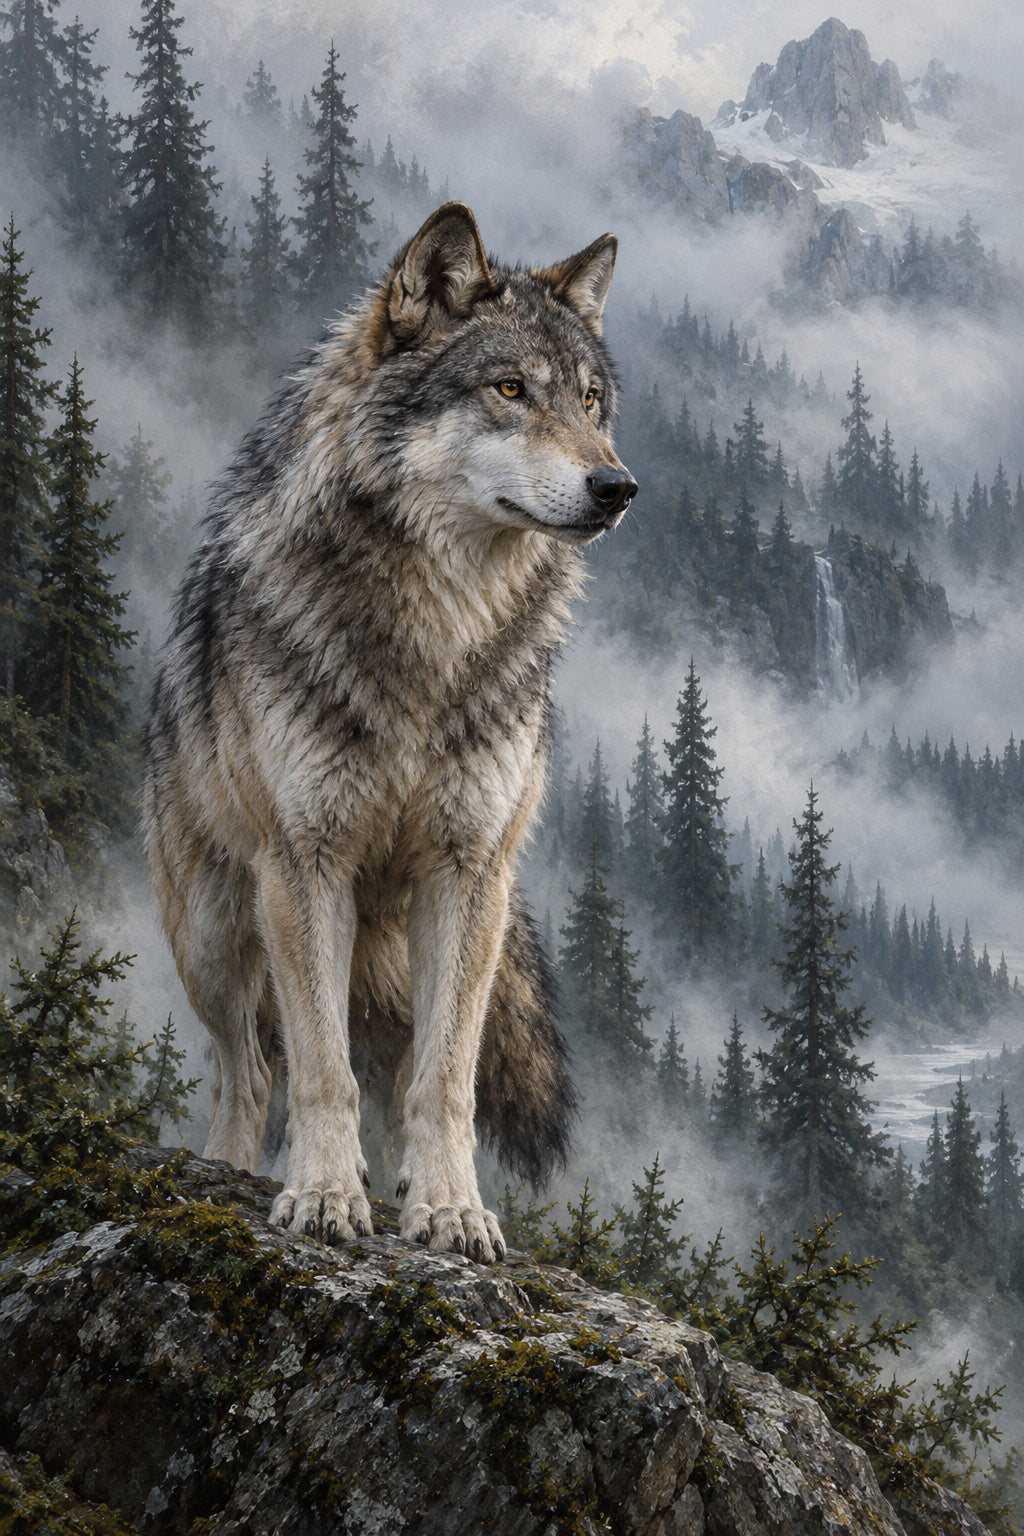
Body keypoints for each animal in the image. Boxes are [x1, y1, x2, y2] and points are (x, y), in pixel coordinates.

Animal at [143, 202, 636, 1263]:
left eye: (590, 402)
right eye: (509, 390)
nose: (618, 488)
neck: (435, 639)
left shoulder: (470, 869)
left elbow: (443, 1085)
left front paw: (450, 1211)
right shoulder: (305, 862)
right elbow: (318, 1068)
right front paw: (325, 1197)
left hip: (415, 960)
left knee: (396, 1076)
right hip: (215, 935)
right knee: (248, 1071)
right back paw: (237, 1171)